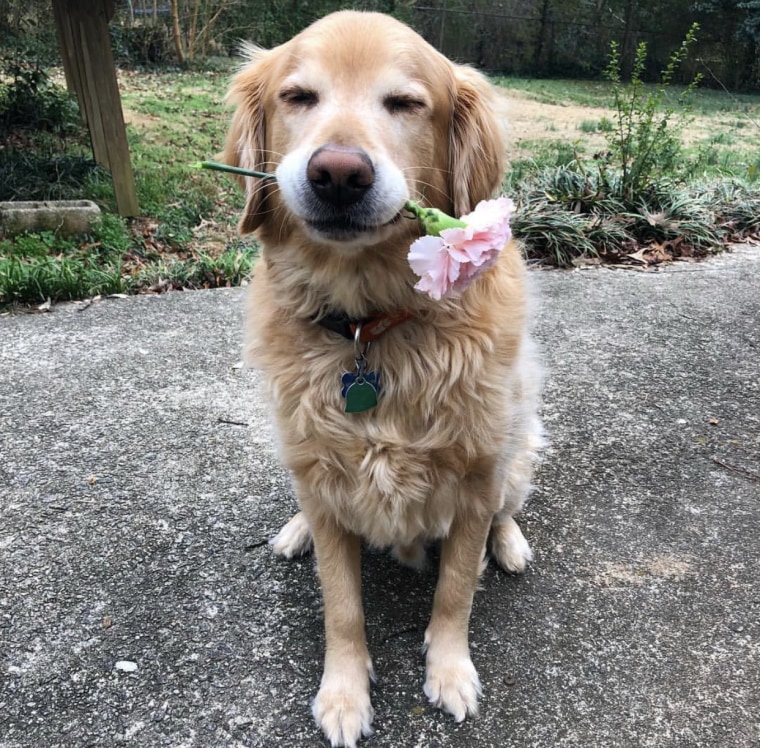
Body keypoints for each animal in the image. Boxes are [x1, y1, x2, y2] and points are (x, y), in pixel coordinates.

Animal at [223, 8, 544, 744]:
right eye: (298, 97)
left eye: (404, 103)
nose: (338, 173)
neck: (369, 326)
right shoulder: (324, 470)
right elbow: (341, 605)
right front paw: (343, 694)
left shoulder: (477, 475)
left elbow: (456, 588)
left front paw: (450, 672)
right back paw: (296, 530)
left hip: (518, 447)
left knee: (509, 506)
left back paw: (509, 544)